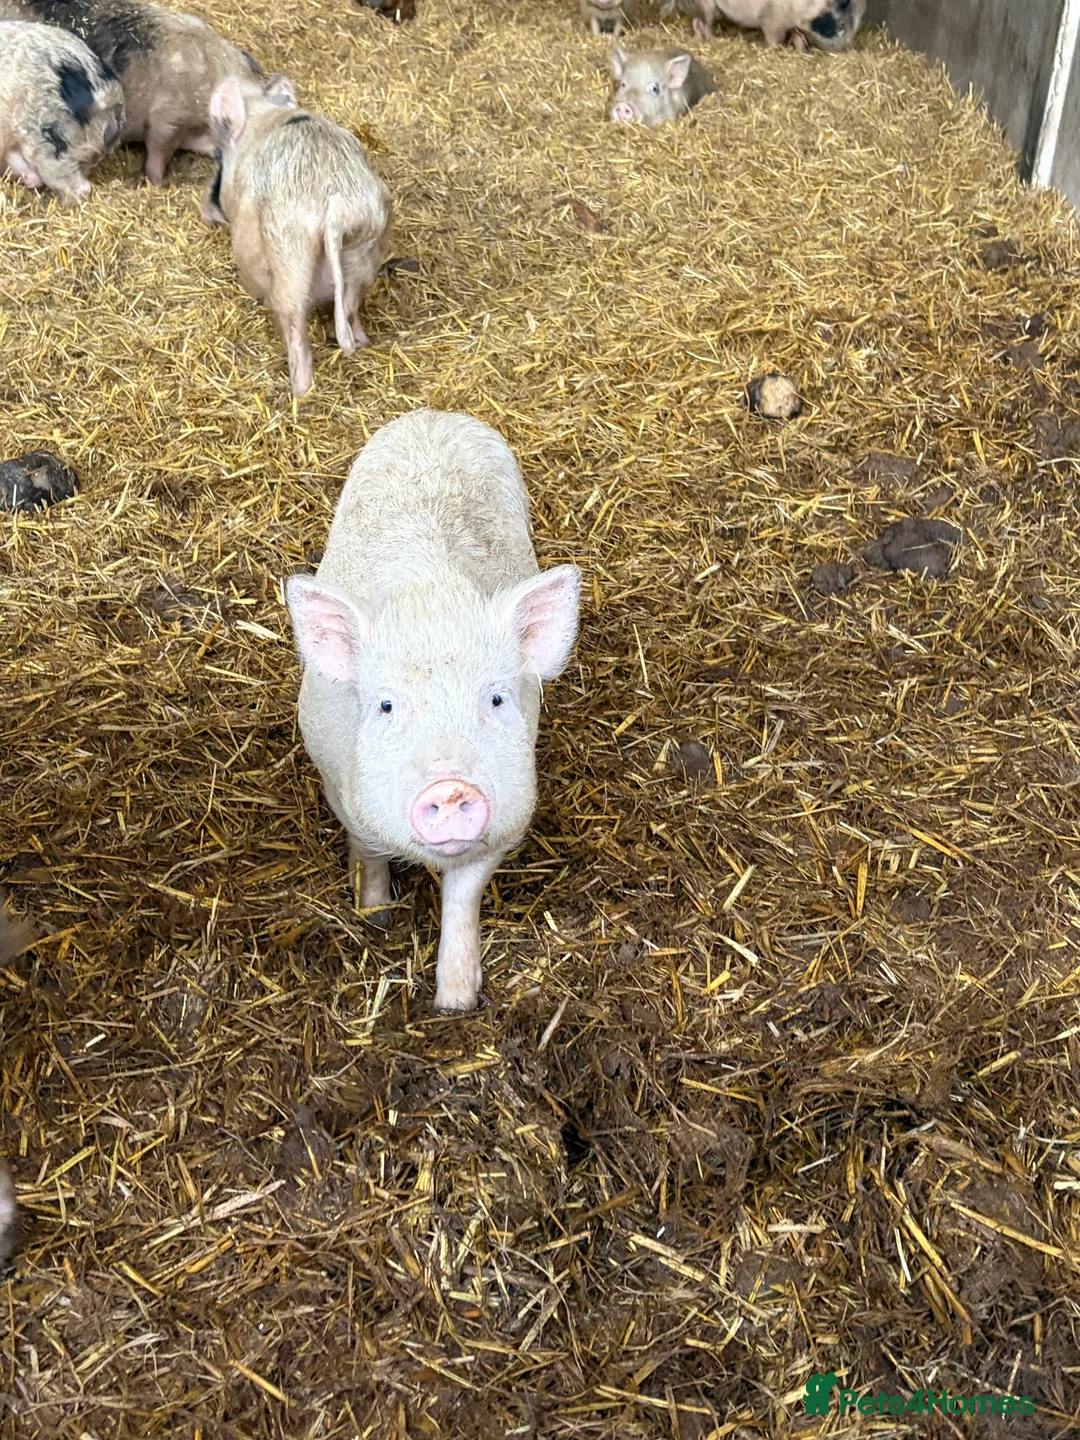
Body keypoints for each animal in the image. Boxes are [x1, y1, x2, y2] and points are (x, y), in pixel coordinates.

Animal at [203, 73, 392, 398]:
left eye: (218, 155)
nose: (207, 209)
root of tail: (336, 200)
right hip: (364, 246)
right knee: (351, 309)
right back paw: (361, 342)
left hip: (290, 251)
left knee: (295, 329)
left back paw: (299, 393)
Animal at [286, 410, 582, 1014]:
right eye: (385, 704)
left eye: (495, 698)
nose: (449, 787)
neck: (431, 600)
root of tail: (436, 414)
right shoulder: (342, 791)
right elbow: (367, 852)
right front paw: (374, 916)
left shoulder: (507, 821)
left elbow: (463, 900)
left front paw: (454, 1004)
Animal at [689, 0, 866, 50]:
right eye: (842, 24)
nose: (847, 47)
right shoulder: (771, 22)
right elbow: (774, 41)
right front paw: (770, 50)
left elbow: (798, 38)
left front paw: (803, 53)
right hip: (708, 6)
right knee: (701, 23)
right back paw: (710, 40)